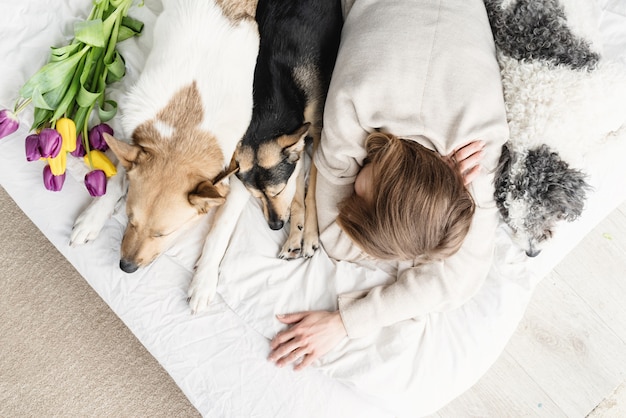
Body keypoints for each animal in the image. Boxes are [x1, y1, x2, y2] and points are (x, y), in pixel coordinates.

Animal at [234, 0, 342, 258]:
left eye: (277, 191)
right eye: (256, 196)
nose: (275, 226)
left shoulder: (316, 134)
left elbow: (311, 194)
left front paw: (310, 236)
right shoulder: (296, 154)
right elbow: (296, 199)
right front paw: (294, 236)